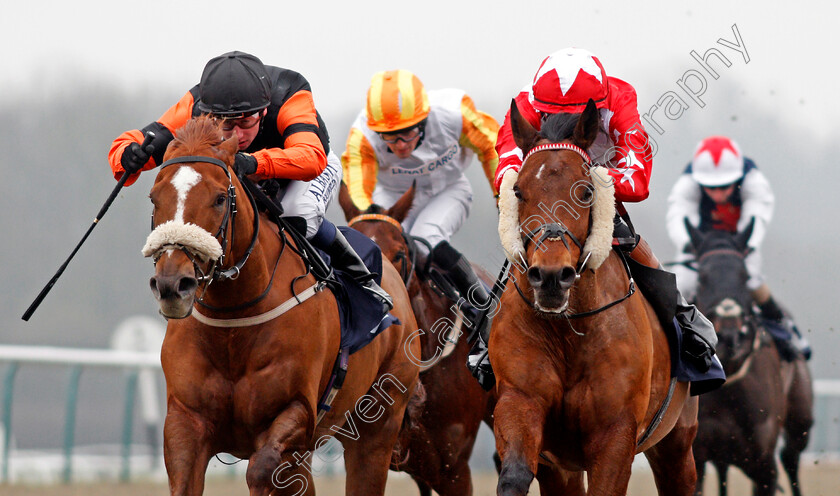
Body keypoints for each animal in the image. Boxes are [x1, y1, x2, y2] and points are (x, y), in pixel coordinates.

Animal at [145, 114, 424, 494]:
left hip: (378, 424)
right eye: (154, 198)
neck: (234, 324)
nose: (173, 285)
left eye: (219, 199)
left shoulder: (297, 413)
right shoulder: (185, 420)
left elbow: (261, 470)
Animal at [488, 99, 700, 494]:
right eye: (518, 191)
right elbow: (514, 475)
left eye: (586, 191)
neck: (567, 331)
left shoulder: (615, 432)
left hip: (677, 442)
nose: (551, 277)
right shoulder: (520, 402)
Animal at [684, 221, 812, 496]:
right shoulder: (696, 456)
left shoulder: (764, 465)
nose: (729, 335)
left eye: (744, 276)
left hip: (801, 421)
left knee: (791, 458)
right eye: (702, 278)